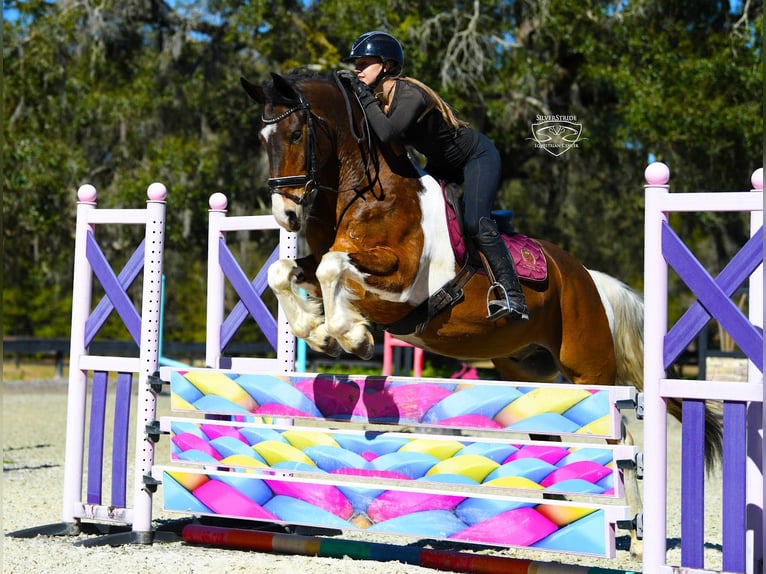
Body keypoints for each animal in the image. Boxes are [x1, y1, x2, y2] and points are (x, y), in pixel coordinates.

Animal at [239, 71, 723, 484]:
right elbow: (287, 271)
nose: (286, 215)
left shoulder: (403, 280)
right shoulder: (330, 260)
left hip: (590, 369)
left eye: (296, 134)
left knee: (619, 443)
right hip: (527, 373)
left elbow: (332, 267)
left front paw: (352, 336)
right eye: (261, 139)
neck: (367, 194)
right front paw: (318, 330)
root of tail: (588, 280)